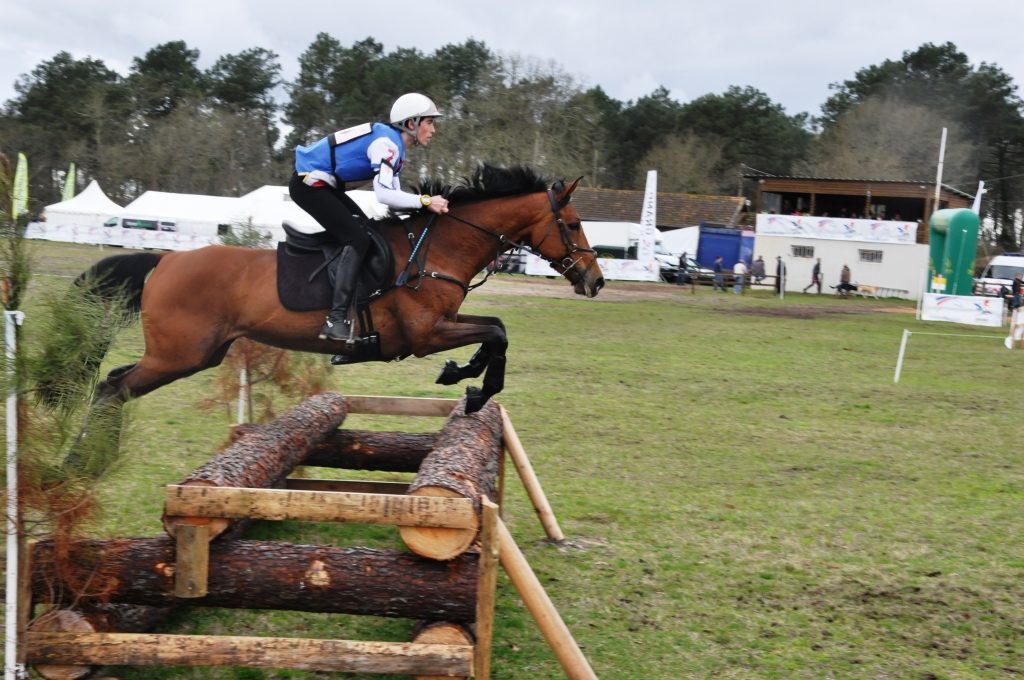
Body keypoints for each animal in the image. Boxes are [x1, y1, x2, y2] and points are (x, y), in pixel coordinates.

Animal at [54, 162, 598, 464]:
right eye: (572, 224)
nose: (595, 281)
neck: (436, 249)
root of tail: (166, 259)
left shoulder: (436, 329)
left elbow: (495, 331)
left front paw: (464, 376)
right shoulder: (425, 333)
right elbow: (496, 332)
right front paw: (474, 386)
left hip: (195, 354)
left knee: (116, 383)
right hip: (179, 355)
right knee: (112, 387)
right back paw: (80, 461)